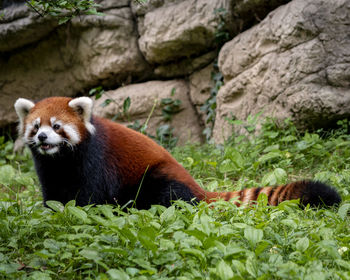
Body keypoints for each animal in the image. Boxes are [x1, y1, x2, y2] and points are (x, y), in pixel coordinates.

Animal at [15, 97, 340, 209]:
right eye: (36, 126)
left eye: (57, 126)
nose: (43, 137)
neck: (62, 160)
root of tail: (196, 185)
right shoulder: (49, 168)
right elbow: (53, 191)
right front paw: (52, 211)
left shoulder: (94, 160)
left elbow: (90, 194)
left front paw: (80, 211)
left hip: (158, 176)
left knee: (166, 195)